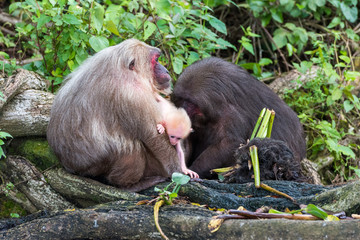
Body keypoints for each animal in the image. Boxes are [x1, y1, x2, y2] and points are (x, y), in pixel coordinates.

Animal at [47, 38, 183, 191]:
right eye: (156, 60)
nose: (166, 70)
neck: (126, 72)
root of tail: (69, 166)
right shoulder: (134, 95)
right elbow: (155, 137)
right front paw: (179, 172)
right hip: (95, 167)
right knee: (130, 148)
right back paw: (129, 186)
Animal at [172, 57, 306, 179]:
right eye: (181, 99)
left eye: (190, 103)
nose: (182, 111)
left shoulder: (231, 114)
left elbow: (230, 144)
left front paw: (194, 170)